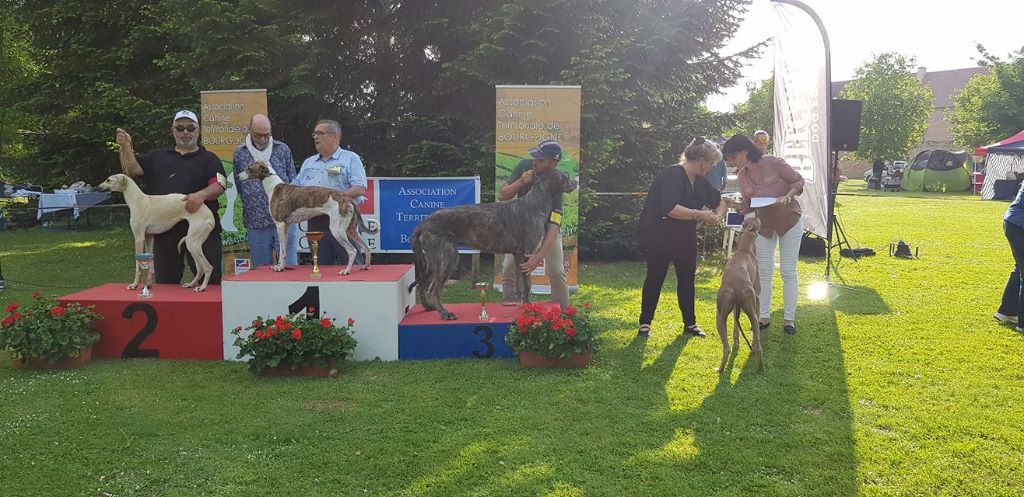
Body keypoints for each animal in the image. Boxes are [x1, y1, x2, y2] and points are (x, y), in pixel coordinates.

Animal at [235, 160, 376, 272]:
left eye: (249, 168)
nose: (237, 176)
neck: (273, 187)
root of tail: (348, 198)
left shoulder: (279, 225)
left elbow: (281, 250)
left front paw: (279, 267)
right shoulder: (286, 226)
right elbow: (284, 250)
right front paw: (282, 266)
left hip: (337, 230)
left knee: (353, 251)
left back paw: (346, 271)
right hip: (350, 229)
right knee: (366, 247)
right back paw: (365, 266)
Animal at [411, 168, 581, 319]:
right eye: (566, 176)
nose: (576, 183)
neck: (536, 203)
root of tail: (423, 223)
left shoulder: (518, 256)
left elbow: (520, 283)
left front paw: (520, 303)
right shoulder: (527, 254)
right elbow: (527, 283)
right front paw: (527, 305)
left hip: (432, 261)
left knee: (423, 284)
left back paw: (428, 307)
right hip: (447, 258)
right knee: (432, 289)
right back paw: (444, 313)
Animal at [716, 217, 765, 373]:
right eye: (754, 220)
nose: (758, 216)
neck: (744, 250)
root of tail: (736, 285)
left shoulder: (736, 307)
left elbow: (736, 327)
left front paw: (738, 342)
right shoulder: (757, 300)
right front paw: (750, 345)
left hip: (720, 315)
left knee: (726, 348)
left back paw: (721, 369)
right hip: (751, 310)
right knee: (757, 344)